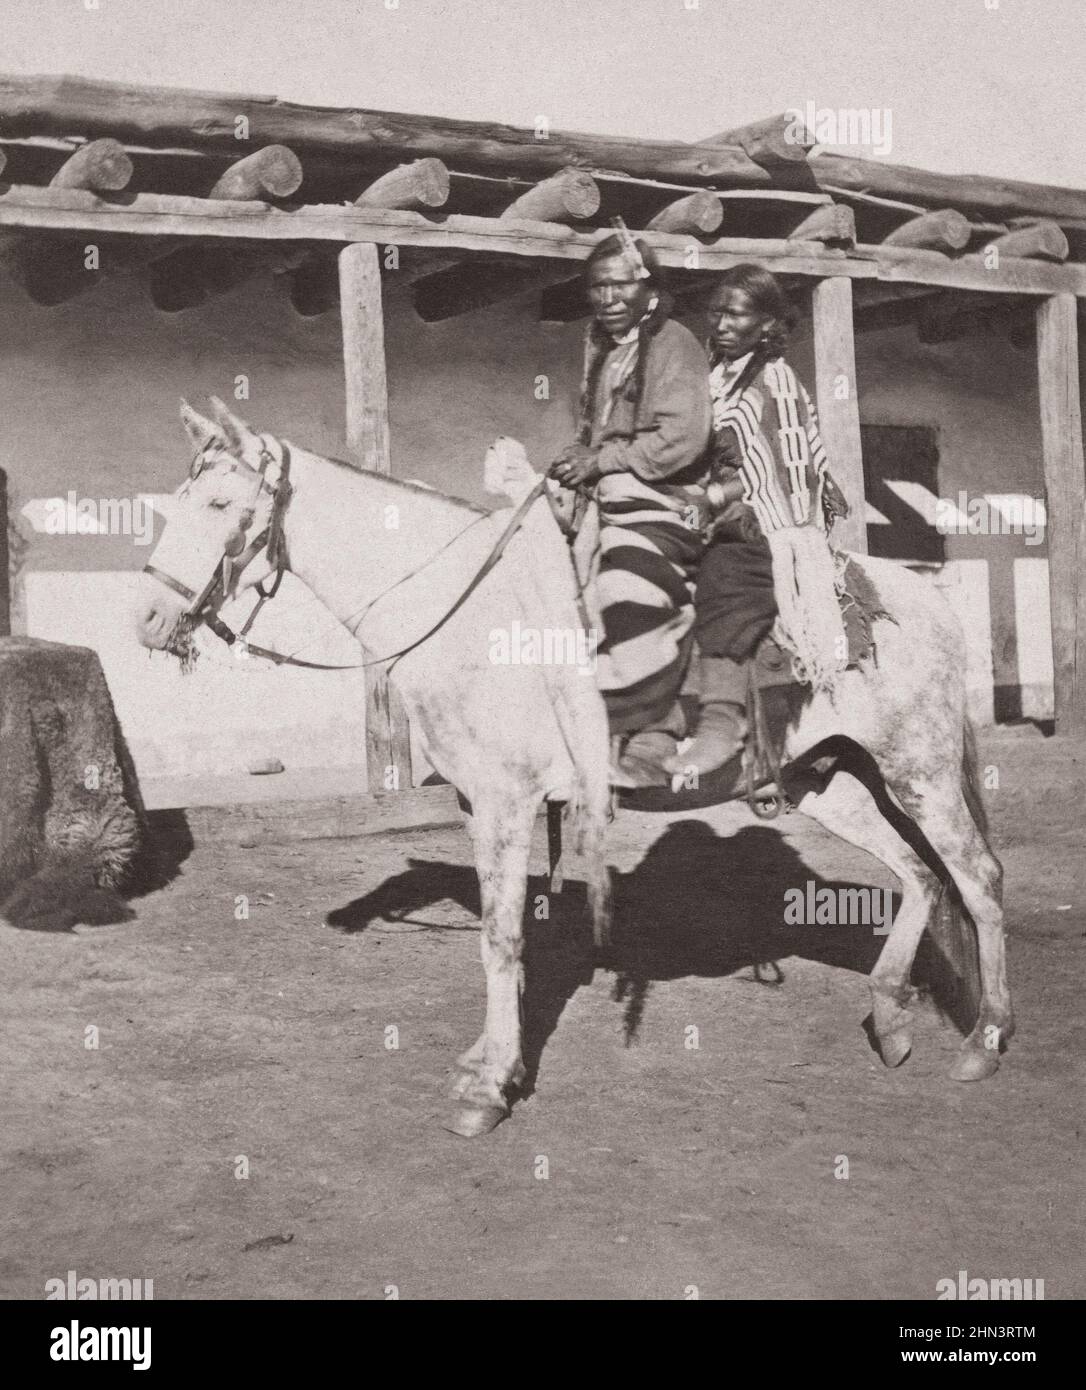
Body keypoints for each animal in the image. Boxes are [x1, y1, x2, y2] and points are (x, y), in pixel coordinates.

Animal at [133, 397, 1006, 1134]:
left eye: (219, 507)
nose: (145, 619)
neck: (469, 614)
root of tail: (921, 599)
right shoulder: (479, 804)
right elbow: (508, 932)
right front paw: (489, 1063)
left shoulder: (507, 801)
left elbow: (500, 938)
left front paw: (489, 1091)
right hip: (833, 780)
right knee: (921, 878)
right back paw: (890, 1018)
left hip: (919, 770)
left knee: (975, 878)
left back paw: (987, 1040)